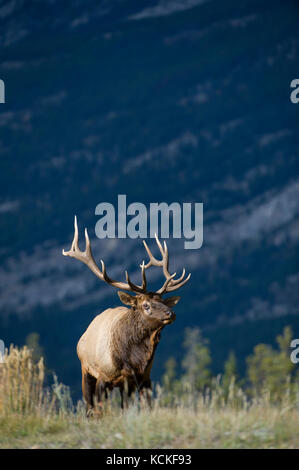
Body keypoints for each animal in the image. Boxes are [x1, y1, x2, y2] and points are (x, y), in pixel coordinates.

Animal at [62, 217, 191, 414]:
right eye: (146, 305)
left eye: (163, 301)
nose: (171, 313)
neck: (132, 360)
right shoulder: (103, 376)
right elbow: (101, 410)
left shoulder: (143, 378)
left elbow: (141, 408)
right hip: (86, 371)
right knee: (90, 408)